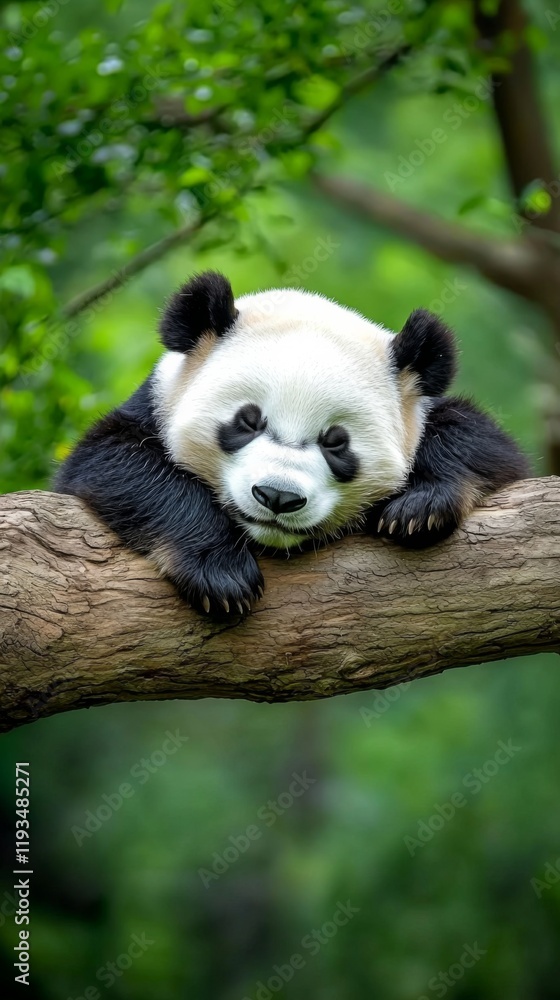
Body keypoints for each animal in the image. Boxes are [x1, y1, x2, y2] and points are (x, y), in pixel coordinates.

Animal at [55, 270, 528, 616]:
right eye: (247, 421)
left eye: (336, 443)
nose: (278, 497)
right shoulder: (149, 409)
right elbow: (115, 462)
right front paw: (222, 576)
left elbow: (482, 440)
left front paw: (418, 509)